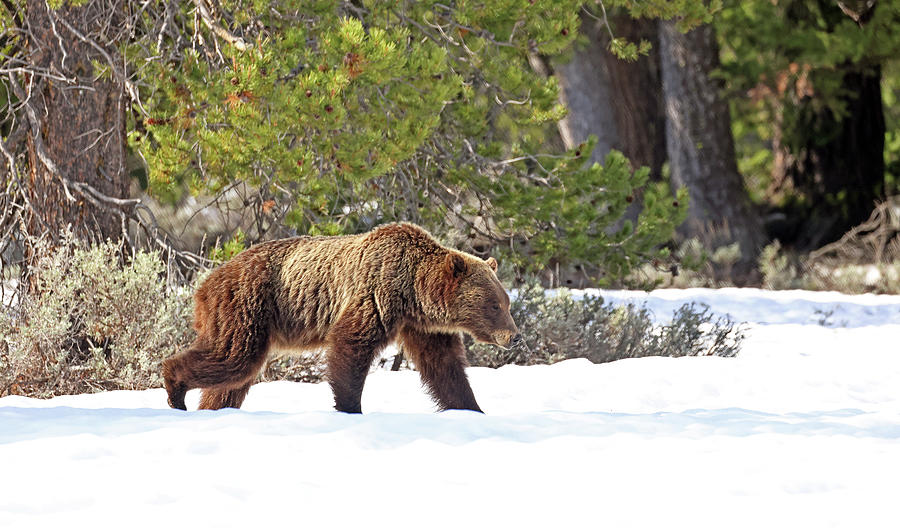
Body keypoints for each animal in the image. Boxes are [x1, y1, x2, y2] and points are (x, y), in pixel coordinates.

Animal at [163, 222, 520, 412]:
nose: (514, 336)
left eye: (506, 302)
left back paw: (213, 408)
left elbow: (445, 368)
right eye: (494, 305)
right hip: (247, 306)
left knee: (233, 378)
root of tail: (204, 283)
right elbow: (350, 346)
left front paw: (471, 408)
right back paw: (175, 389)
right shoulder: (375, 296)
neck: (412, 292)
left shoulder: (423, 327)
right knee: (233, 357)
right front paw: (350, 406)